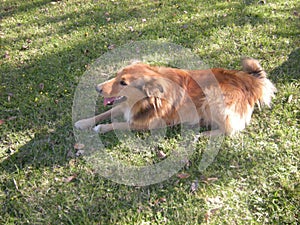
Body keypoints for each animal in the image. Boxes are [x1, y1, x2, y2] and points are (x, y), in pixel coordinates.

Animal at [75, 58, 276, 135]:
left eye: (123, 83)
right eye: (116, 76)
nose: (97, 88)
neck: (147, 101)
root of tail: (249, 81)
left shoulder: (150, 124)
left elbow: (116, 124)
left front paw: (100, 128)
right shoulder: (125, 107)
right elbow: (105, 113)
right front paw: (84, 122)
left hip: (212, 98)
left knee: (228, 130)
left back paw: (203, 135)